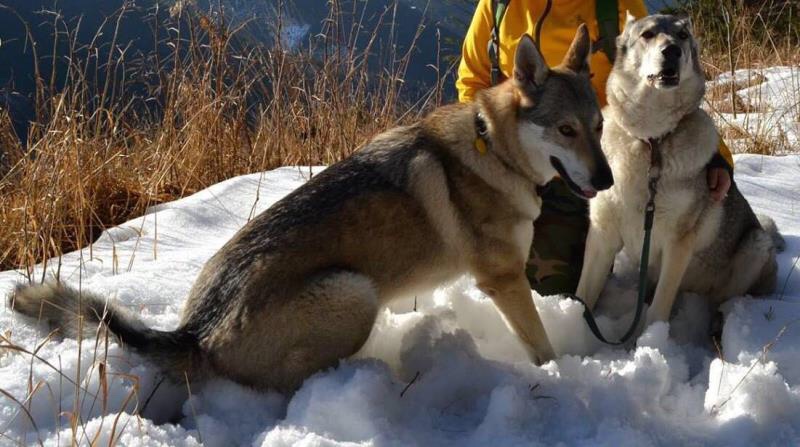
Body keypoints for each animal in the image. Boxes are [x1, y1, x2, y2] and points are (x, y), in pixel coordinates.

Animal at [580, 14, 784, 328]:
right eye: (648, 34)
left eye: (683, 35)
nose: (672, 51)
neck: (651, 140)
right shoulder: (602, 235)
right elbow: (582, 298)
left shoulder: (678, 243)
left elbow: (657, 310)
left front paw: (648, 337)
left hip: (754, 246)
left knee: (725, 299)